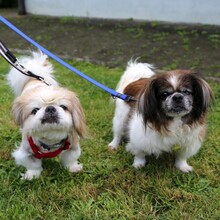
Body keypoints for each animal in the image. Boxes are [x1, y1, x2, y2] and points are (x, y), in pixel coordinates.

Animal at [7, 52, 86, 180]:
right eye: (35, 110)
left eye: (63, 107)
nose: (50, 108)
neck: (50, 139)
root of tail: (33, 78)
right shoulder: (25, 152)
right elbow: (33, 164)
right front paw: (32, 175)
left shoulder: (73, 145)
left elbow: (70, 159)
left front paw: (73, 168)